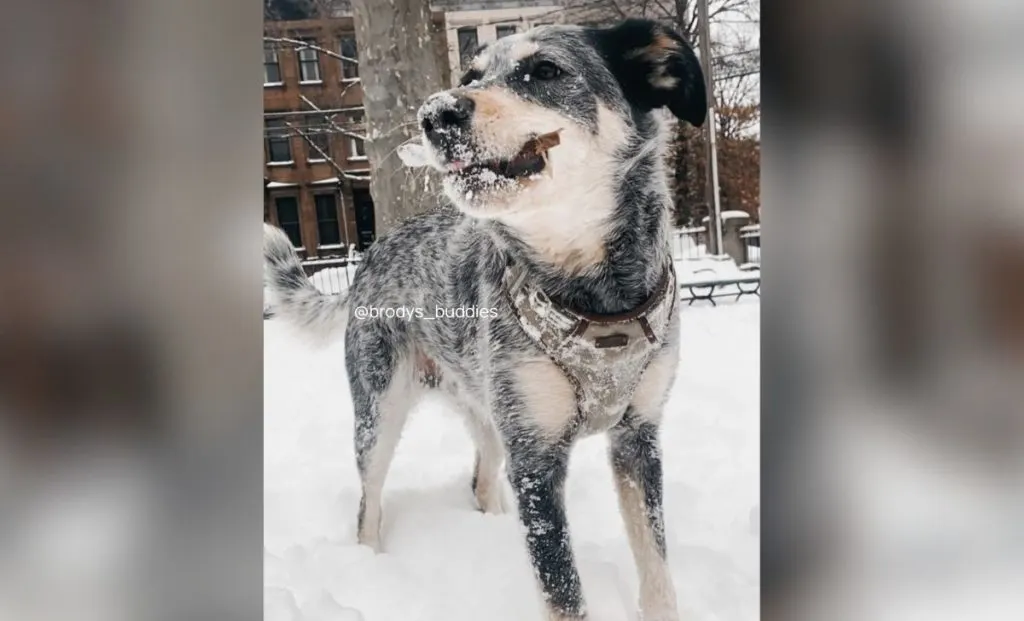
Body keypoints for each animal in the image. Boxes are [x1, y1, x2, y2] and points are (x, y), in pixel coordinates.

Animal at [266, 19, 704, 621]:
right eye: (471, 75)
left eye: (545, 70)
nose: (435, 113)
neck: (595, 298)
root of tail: (373, 253)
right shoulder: (536, 460)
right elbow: (563, 592)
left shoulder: (638, 437)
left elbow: (657, 567)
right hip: (380, 412)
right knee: (367, 502)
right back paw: (370, 564)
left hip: (491, 413)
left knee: (479, 478)